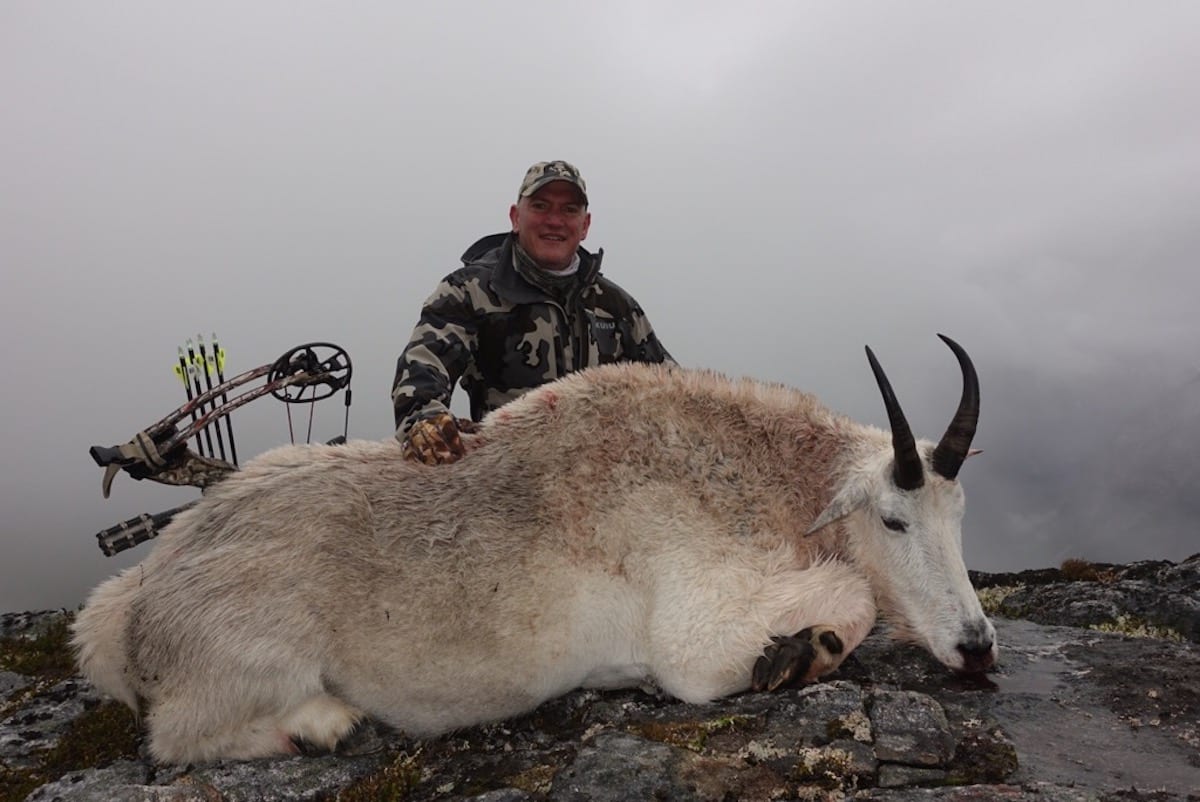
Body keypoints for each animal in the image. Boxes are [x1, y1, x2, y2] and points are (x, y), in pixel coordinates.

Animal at [72, 333, 993, 763]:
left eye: (960, 516)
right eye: (895, 519)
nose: (977, 646)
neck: (749, 476)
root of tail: (134, 609)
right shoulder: (694, 639)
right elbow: (851, 597)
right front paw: (800, 651)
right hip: (246, 665)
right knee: (178, 737)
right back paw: (320, 726)